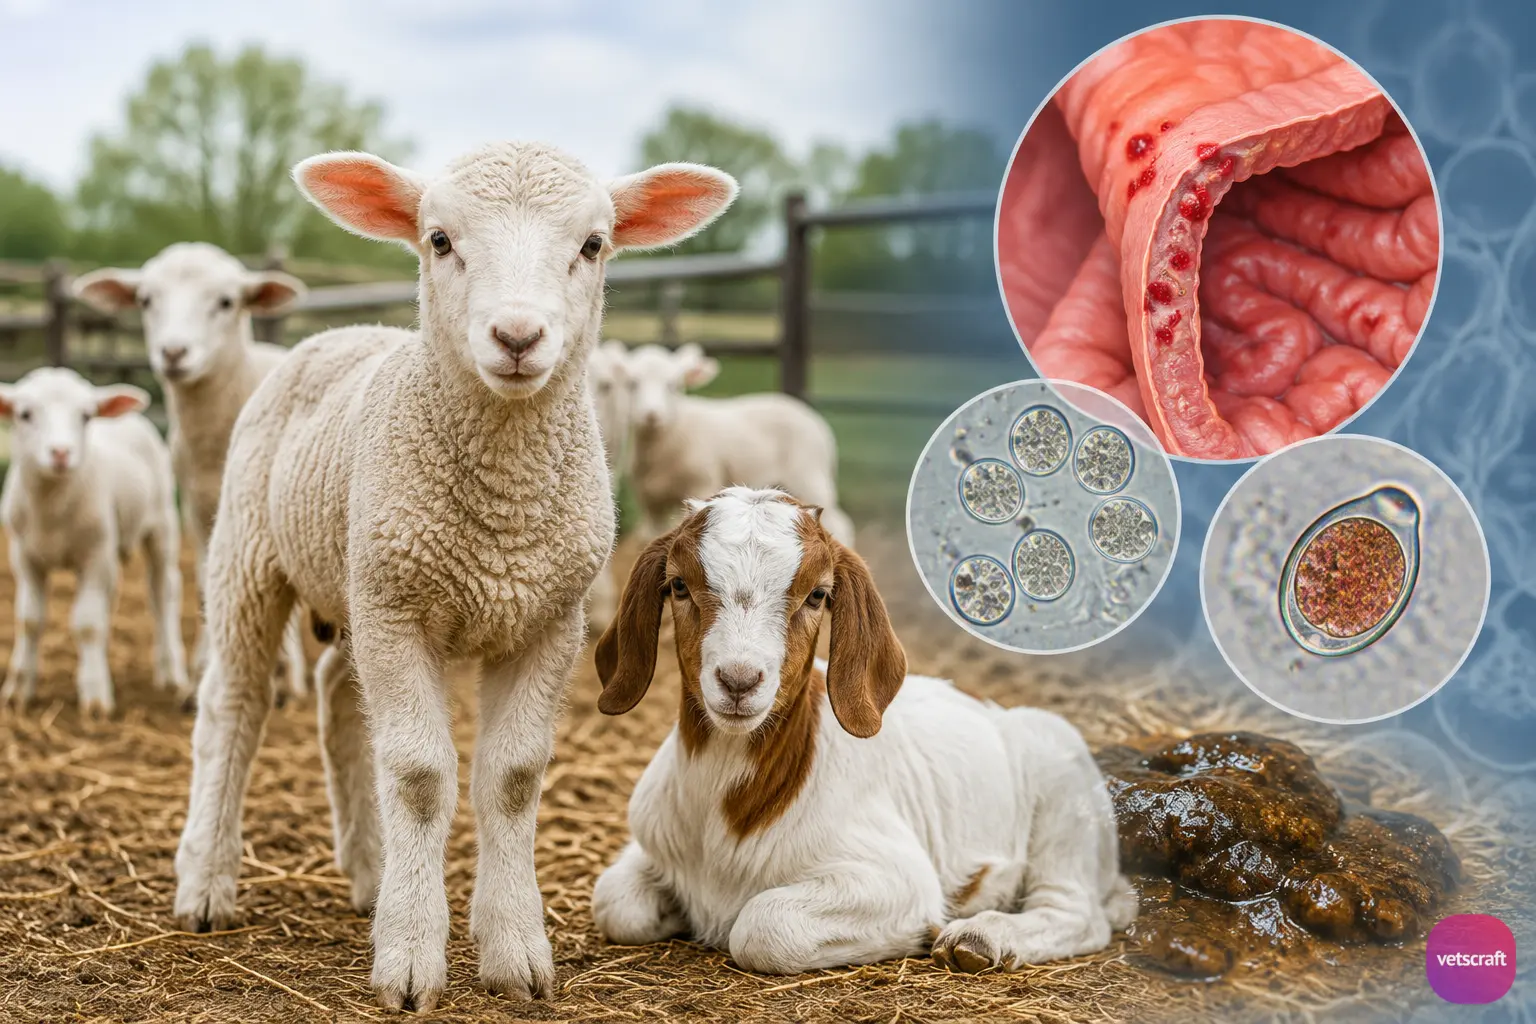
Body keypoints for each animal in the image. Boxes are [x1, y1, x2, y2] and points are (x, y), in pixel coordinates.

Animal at [0, 368, 187, 715]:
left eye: (86, 416)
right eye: (25, 414)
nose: (61, 453)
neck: (52, 511)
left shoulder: (95, 556)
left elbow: (87, 624)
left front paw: (96, 697)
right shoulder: (25, 557)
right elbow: (29, 620)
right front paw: (18, 692)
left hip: (162, 523)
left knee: (163, 592)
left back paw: (171, 673)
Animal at [72, 244, 312, 701]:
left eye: (227, 302)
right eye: (145, 300)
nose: (173, 353)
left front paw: (285, 678)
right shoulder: (199, 510)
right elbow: (206, 585)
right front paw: (206, 667)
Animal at [170, 142, 736, 1012]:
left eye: (593, 245)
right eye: (438, 240)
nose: (518, 335)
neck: (500, 513)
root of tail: (347, 331)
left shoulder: (549, 618)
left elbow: (511, 779)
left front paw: (515, 952)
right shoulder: (400, 609)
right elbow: (419, 777)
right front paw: (410, 957)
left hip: (356, 580)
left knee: (340, 698)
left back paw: (370, 873)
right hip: (250, 555)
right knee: (233, 705)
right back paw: (206, 883)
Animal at [590, 487, 1135, 974]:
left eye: (817, 595)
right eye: (679, 586)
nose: (739, 681)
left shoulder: (896, 877)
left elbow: (762, 926)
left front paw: (922, 933)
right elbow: (615, 903)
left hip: (1064, 793)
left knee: (1076, 911)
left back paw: (979, 938)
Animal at [621, 342, 855, 545]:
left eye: (674, 385)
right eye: (632, 384)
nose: (652, 415)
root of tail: (814, 419)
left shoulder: (703, 483)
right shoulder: (648, 500)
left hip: (809, 475)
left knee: (839, 524)